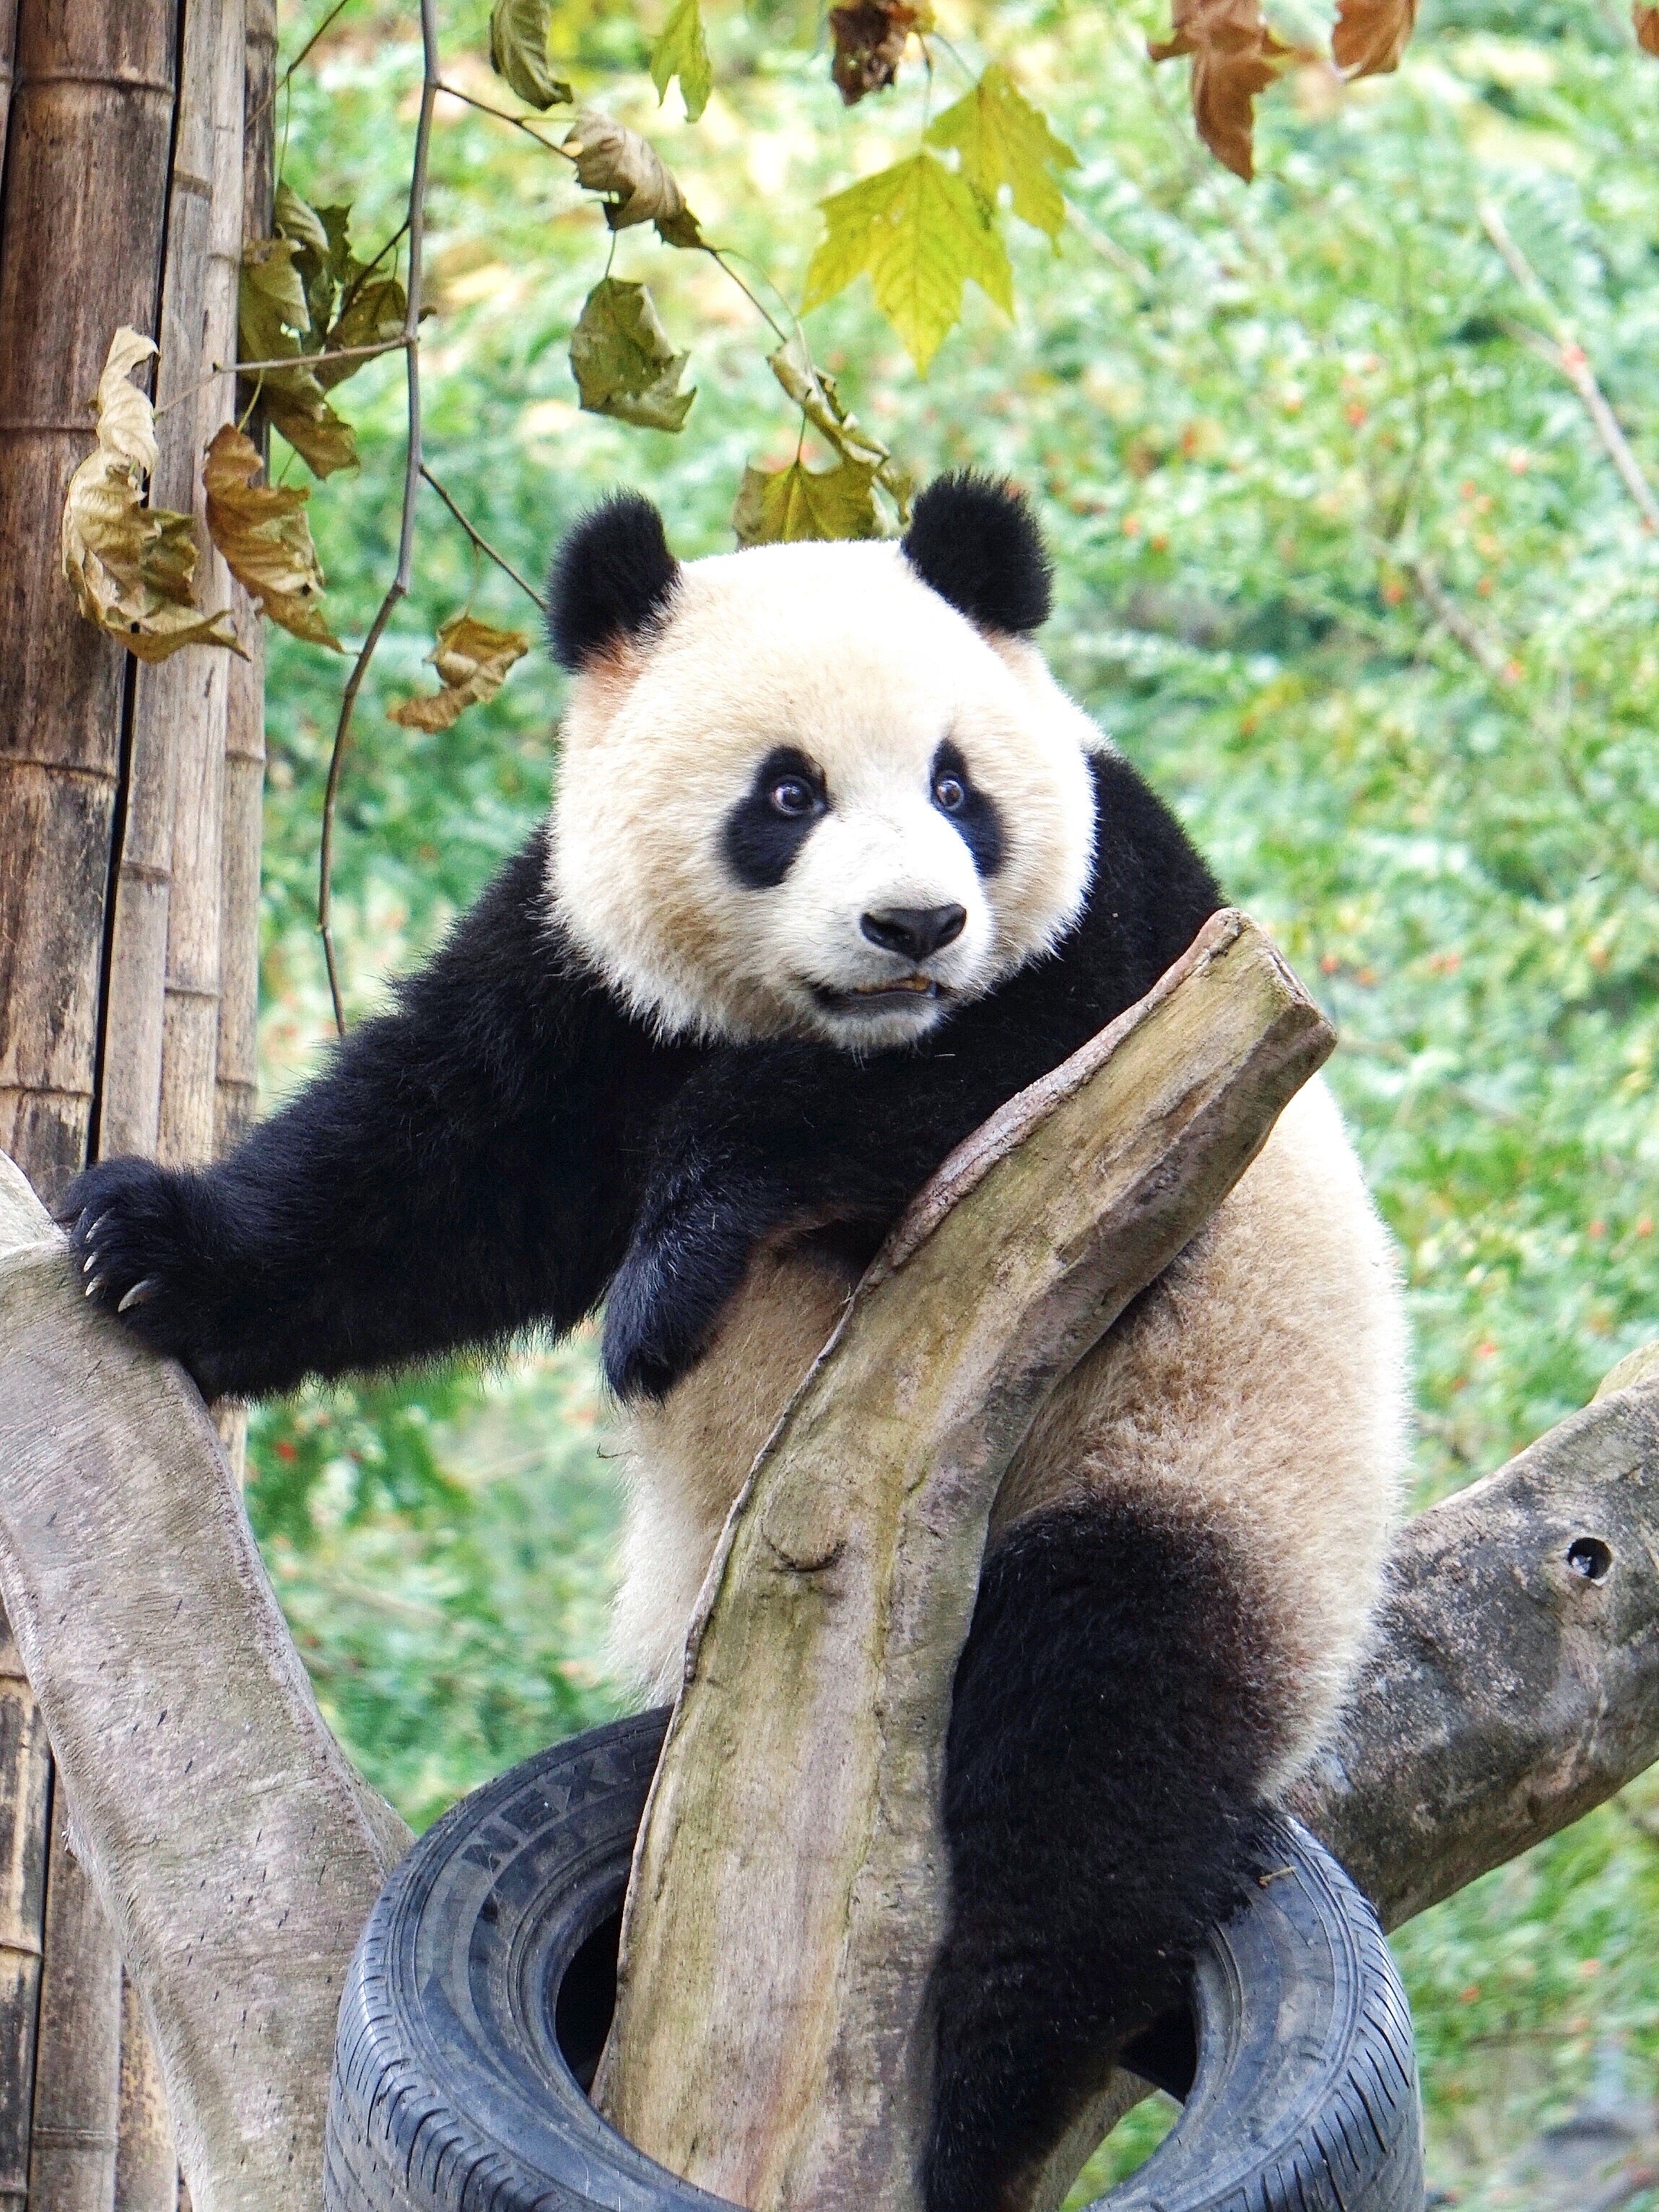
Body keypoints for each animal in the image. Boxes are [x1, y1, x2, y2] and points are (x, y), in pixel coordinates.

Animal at [68, 475, 1415, 2212]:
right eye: (786, 792)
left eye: (958, 785)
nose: (915, 923)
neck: (806, 1009)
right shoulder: (582, 973)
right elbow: (435, 1171)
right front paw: (144, 1249)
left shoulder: (1135, 949)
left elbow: (987, 1049)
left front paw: (670, 1272)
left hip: (1201, 1470)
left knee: (1094, 1755)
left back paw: (980, 2108)